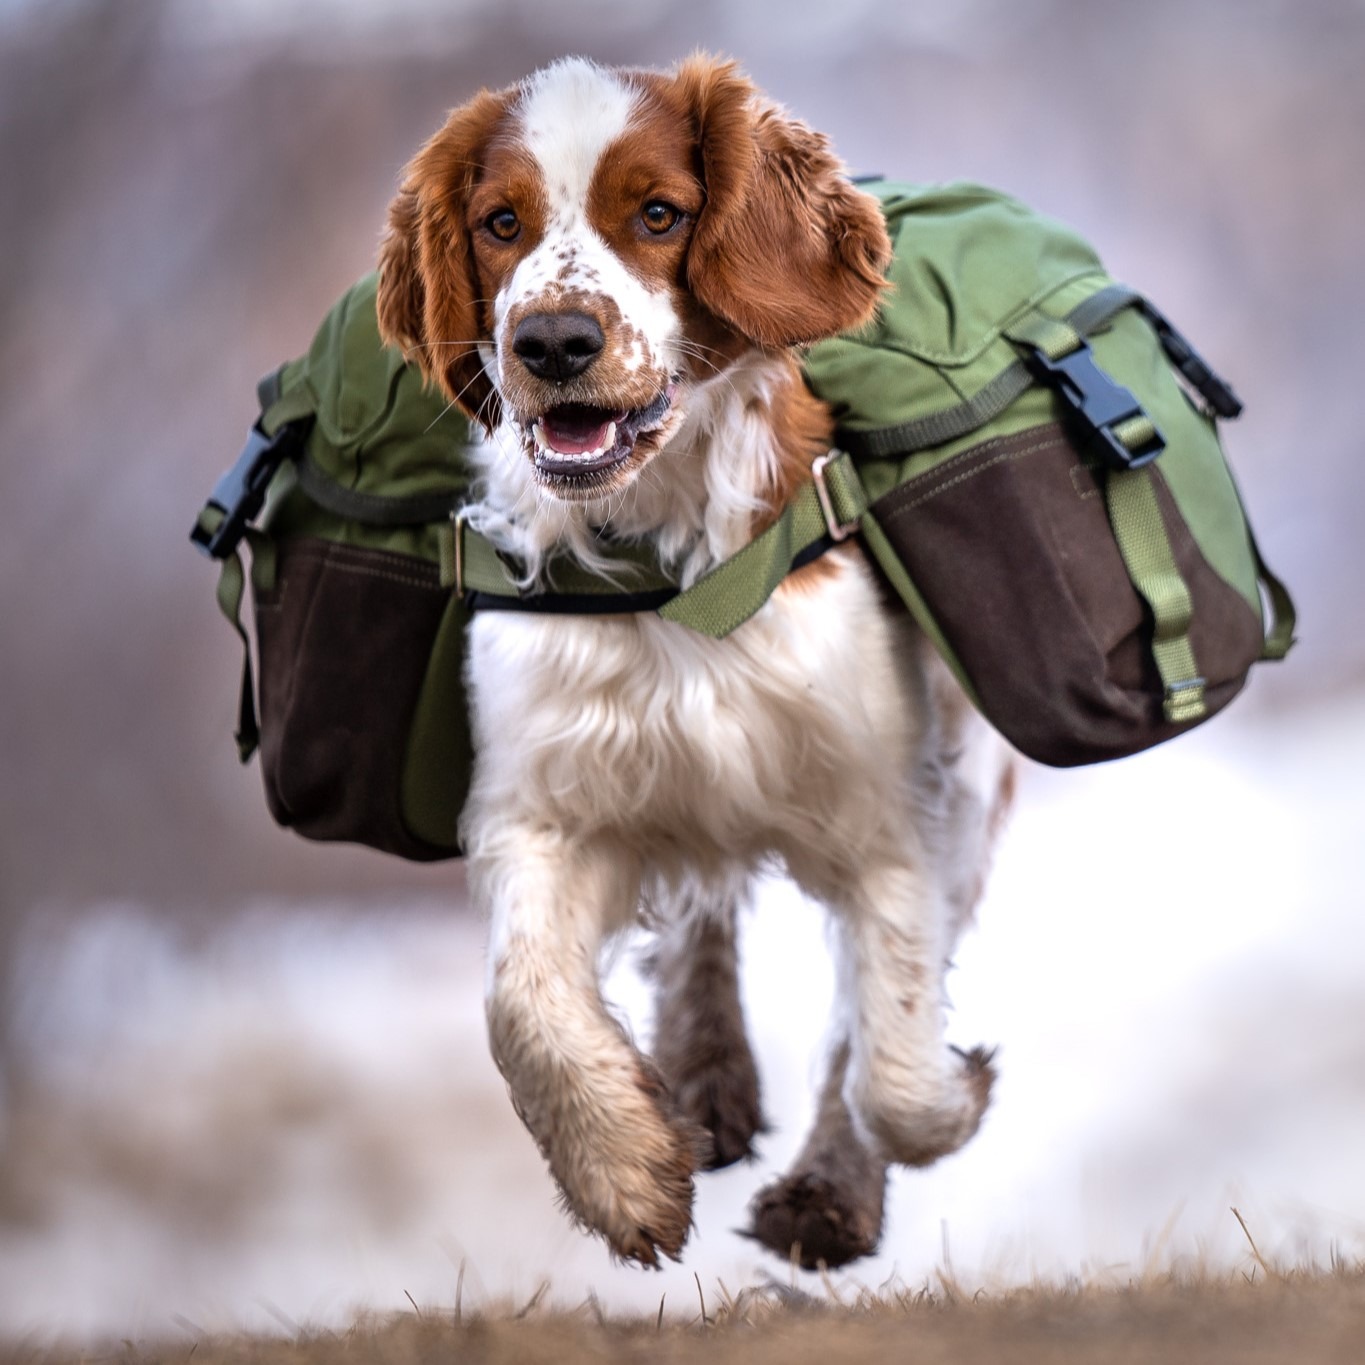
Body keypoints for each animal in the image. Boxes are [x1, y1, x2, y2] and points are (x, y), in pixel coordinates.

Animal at [374, 53, 1015, 1266]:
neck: (670, 556)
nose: (554, 342)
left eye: (660, 214)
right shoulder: (546, 803)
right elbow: (519, 1002)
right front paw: (625, 1169)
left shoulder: (894, 813)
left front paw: (933, 1113)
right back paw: (701, 1080)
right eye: (500, 224)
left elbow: (890, 1061)